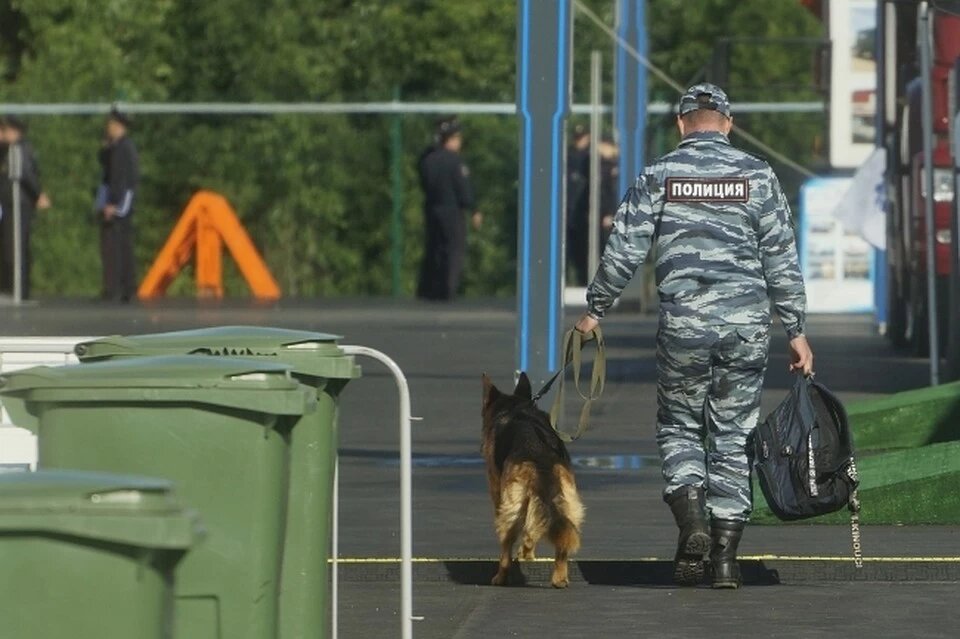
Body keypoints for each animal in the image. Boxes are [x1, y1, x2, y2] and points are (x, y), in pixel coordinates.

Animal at [480, 376, 584, 592]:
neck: (514, 407)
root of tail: (539, 458)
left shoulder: (497, 491)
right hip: (570, 506)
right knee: (559, 539)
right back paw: (559, 578)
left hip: (509, 511)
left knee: (507, 548)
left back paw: (500, 577)